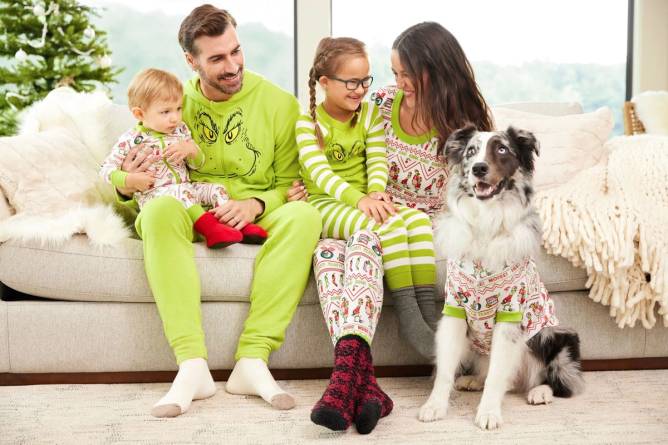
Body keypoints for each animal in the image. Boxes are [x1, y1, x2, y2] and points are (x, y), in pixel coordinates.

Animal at [420, 123, 580, 428]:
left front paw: (488, 413)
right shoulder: (455, 310)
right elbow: (445, 370)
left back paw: (540, 392)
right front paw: (434, 406)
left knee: (553, 378)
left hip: (554, 336)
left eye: (503, 149)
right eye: (471, 151)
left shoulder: (510, 313)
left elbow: (497, 376)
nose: (479, 168)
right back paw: (473, 380)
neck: (486, 223)